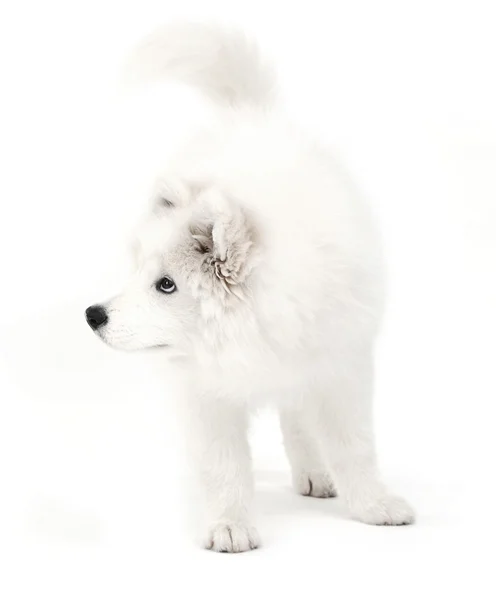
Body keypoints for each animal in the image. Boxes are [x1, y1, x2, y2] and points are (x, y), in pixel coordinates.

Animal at [86, 23, 414, 552]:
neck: (253, 329)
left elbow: (355, 447)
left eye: (166, 285)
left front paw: (374, 506)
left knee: (298, 418)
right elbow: (225, 466)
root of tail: (249, 118)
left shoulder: (342, 369)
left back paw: (315, 475)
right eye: (138, 272)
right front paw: (229, 525)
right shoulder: (206, 392)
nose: (93, 315)